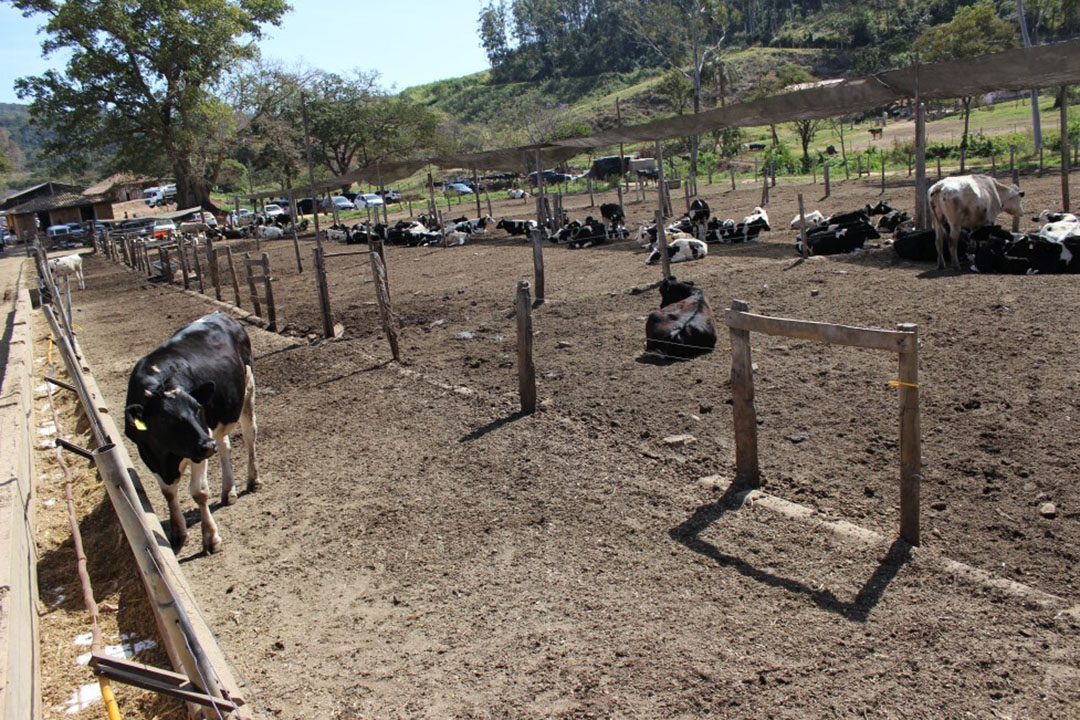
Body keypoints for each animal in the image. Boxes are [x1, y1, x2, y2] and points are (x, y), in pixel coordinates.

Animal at [124, 313, 259, 557]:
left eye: (197, 408)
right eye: (165, 419)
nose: (207, 445)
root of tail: (220, 314)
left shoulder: (199, 445)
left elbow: (199, 492)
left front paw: (211, 538)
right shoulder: (149, 454)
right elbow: (168, 493)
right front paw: (178, 533)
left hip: (247, 389)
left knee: (249, 436)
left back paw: (253, 480)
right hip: (217, 420)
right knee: (224, 446)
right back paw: (228, 490)